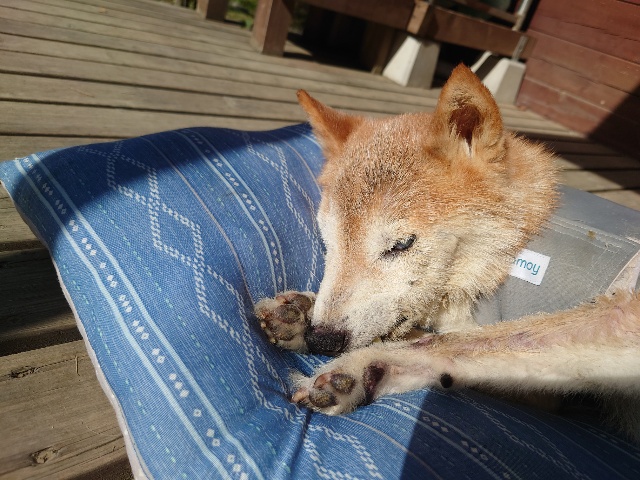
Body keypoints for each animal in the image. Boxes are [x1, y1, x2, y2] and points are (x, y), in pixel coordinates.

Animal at [254, 65, 640, 441]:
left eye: (401, 244)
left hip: (619, 320)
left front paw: (352, 355)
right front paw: (300, 311)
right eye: (330, 243)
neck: (520, 243)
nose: (322, 338)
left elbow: (445, 340)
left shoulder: (547, 390)